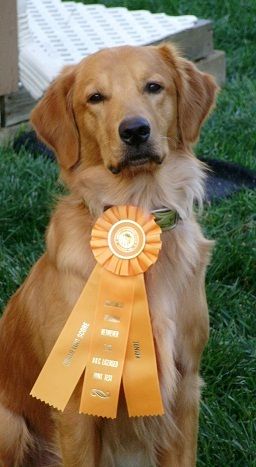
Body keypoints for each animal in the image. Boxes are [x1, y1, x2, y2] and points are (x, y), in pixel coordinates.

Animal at [0, 43, 218, 464]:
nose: (134, 131)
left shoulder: (185, 388)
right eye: (95, 97)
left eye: (154, 86)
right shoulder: (75, 404)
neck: (138, 210)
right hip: (10, 425)